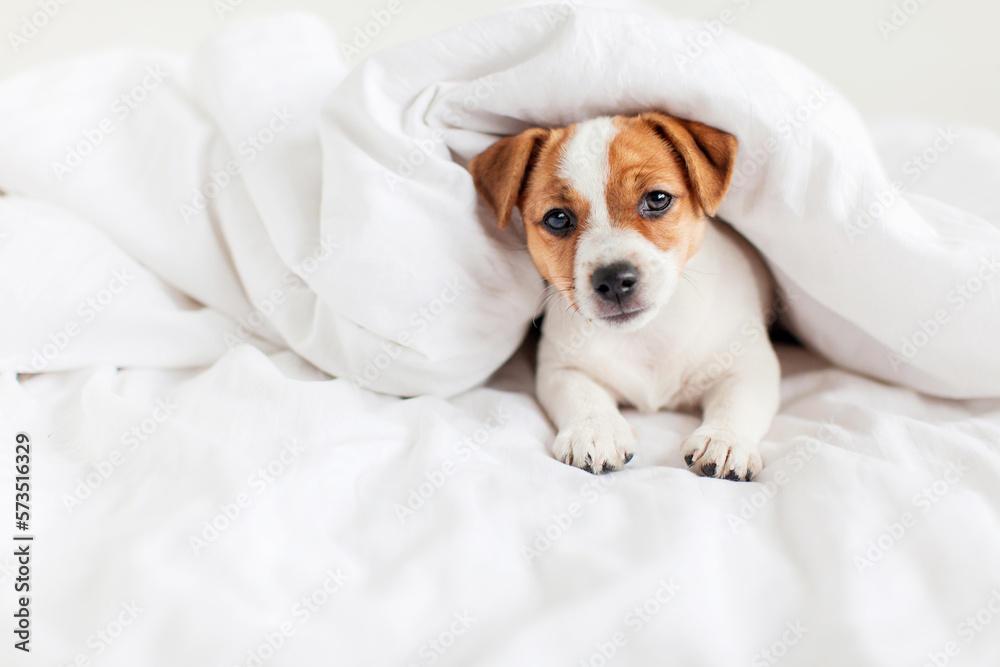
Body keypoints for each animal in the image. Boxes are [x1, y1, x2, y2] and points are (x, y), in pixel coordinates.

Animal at [468, 112, 780, 482]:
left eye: (657, 199)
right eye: (557, 218)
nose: (614, 280)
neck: (646, 335)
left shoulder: (750, 363)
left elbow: (737, 401)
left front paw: (724, 439)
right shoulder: (563, 368)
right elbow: (583, 395)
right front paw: (593, 430)